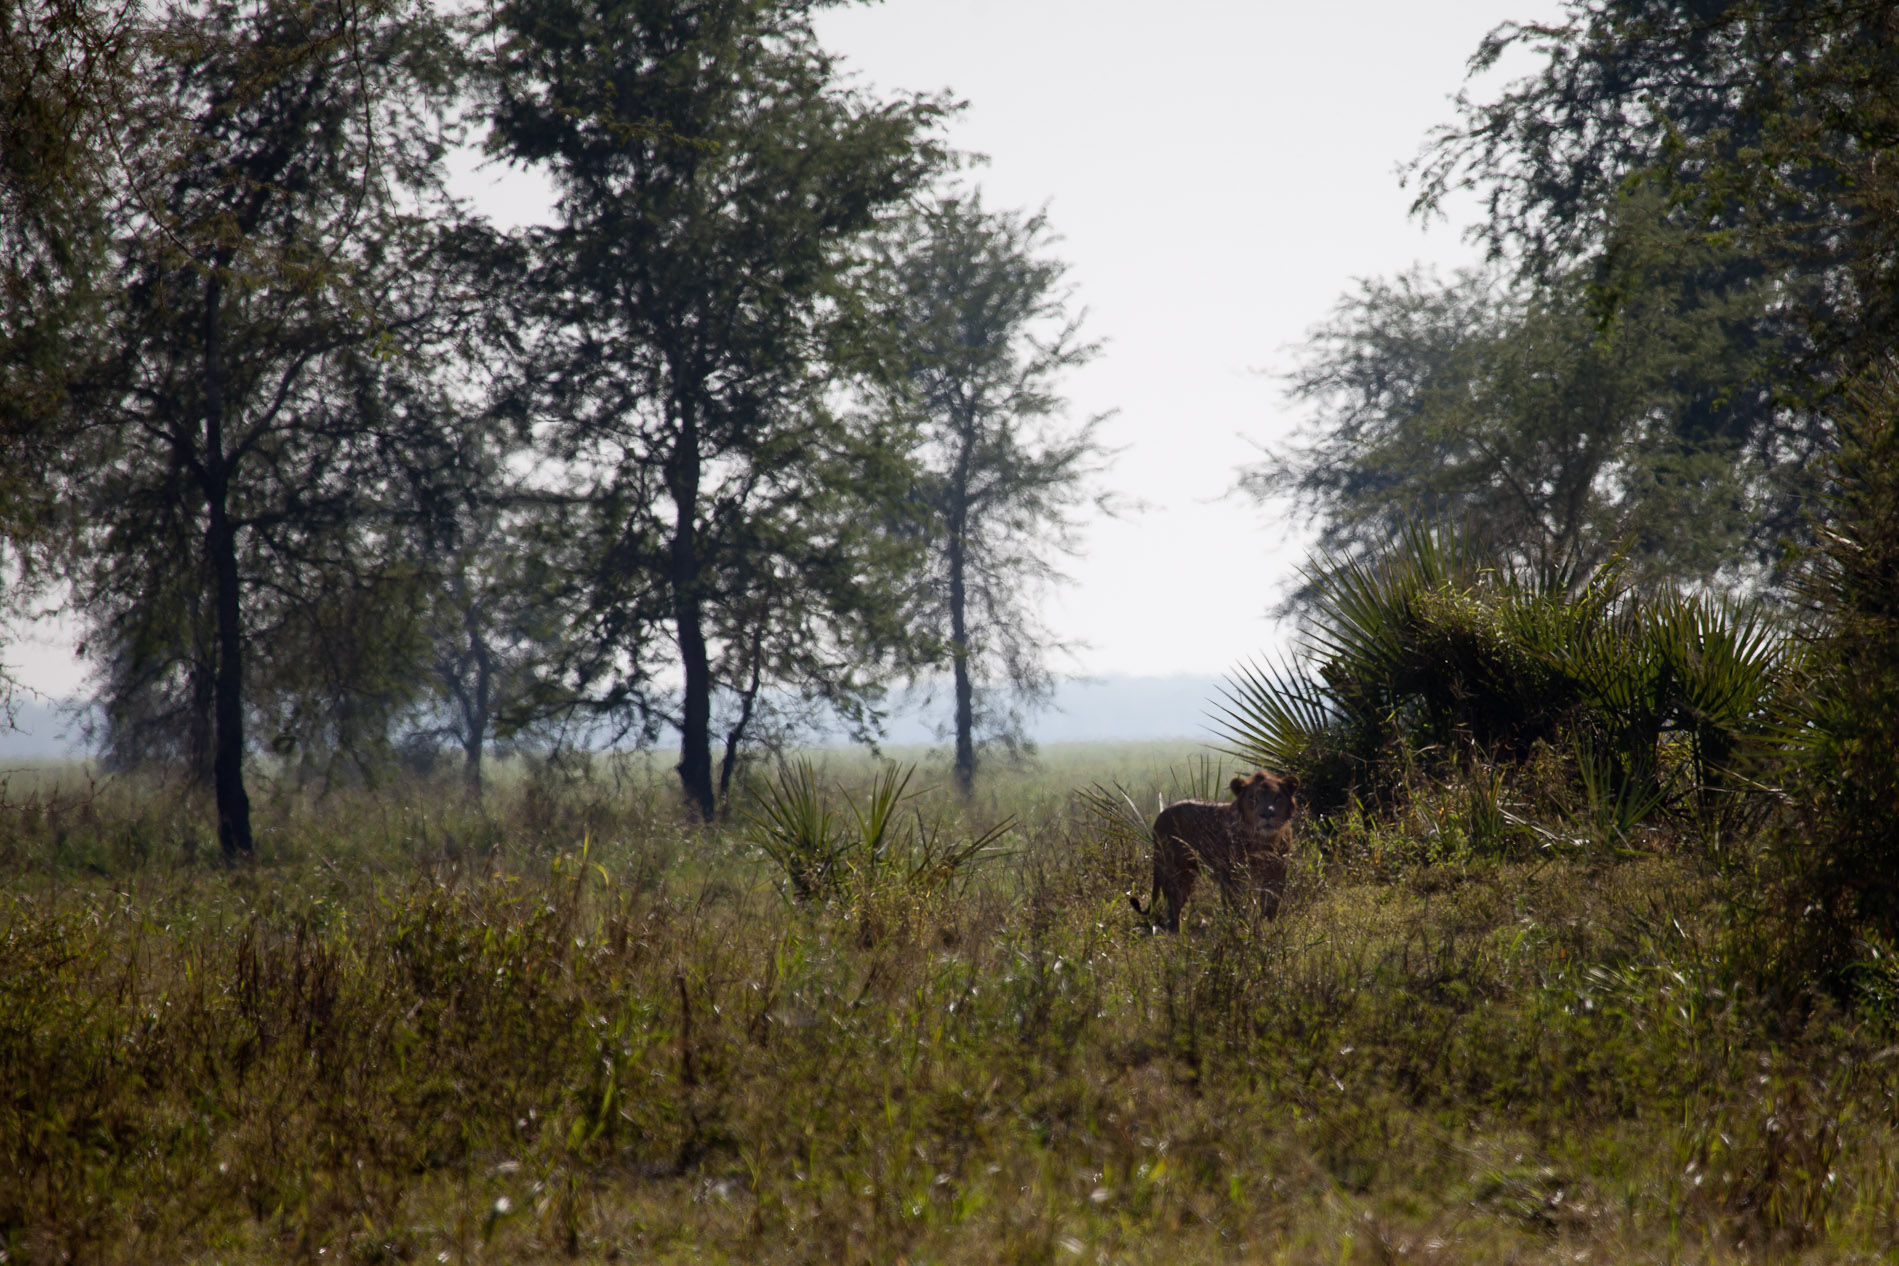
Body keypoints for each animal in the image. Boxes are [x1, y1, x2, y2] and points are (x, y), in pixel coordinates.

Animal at [1124, 766, 1306, 937]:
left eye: (1277, 798)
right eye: (1253, 798)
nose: (1266, 814)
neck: (1265, 841)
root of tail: (1160, 815)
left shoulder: (1277, 875)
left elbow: (1270, 908)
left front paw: (1266, 930)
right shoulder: (1231, 876)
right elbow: (1235, 907)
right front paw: (1240, 930)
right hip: (1176, 870)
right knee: (1173, 903)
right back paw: (1176, 934)